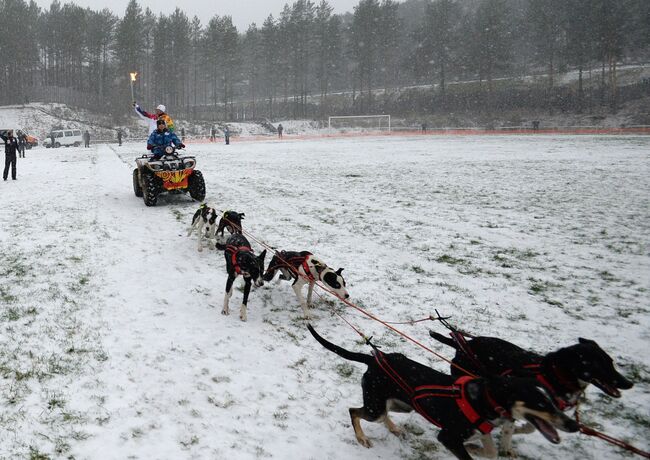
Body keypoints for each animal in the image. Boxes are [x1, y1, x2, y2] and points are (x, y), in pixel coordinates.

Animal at [306, 324, 576, 460]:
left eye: (553, 400)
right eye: (540, 403)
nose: (573, 425)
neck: (484, 397)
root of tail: (375, 358)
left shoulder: (481, 430)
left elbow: (489, 451)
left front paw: (477, 449)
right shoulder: (448, 437)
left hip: (399, 404)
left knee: (382, 414)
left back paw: (394, 428)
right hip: (375, 404)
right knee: (355, 411)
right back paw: (362, 437)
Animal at [428, 332, 632, 454]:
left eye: (611, 362)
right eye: (598, 364)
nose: (629, 383)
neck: (554, 375)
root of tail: (461, 343)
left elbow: (531, 426)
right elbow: (515, 428)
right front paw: (506, 444)